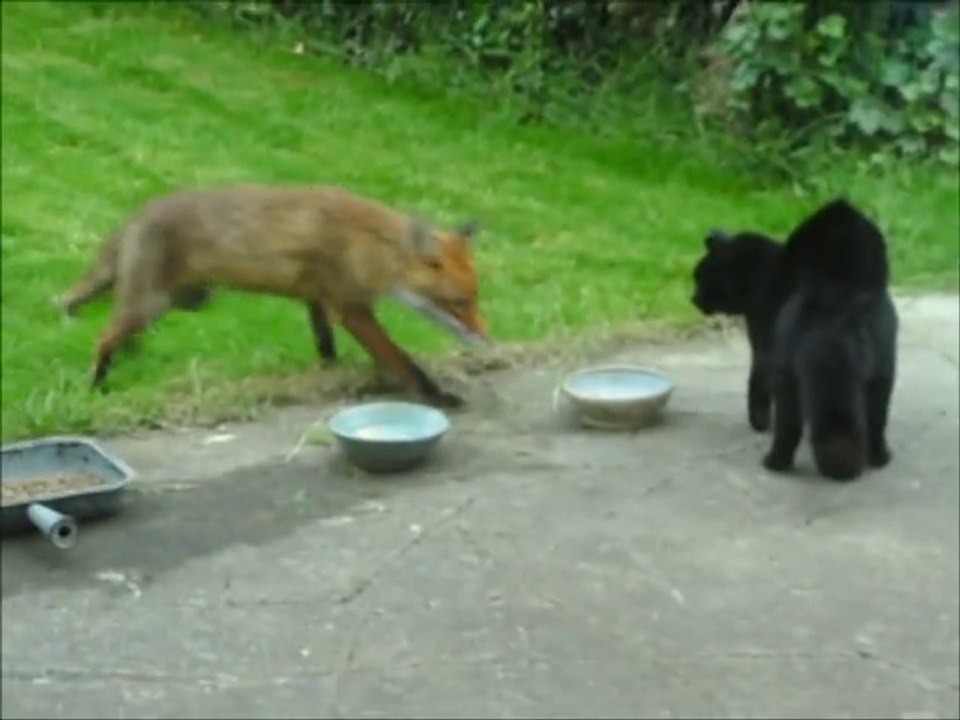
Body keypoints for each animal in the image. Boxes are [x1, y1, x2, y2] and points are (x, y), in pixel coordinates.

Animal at [57, 184, 491, 408]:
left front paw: (329, 374)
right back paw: (97, 386)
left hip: (174, 302)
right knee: (104, 336)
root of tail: (137, 215)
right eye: (460, 302)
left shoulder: (317, 300)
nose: (486, 339)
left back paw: (128, 358)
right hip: (151, 304)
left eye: (476, 297)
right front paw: (435, 395)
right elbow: (399, 358)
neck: (365, 244)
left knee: (117, 329)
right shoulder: (349, 307)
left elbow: (326, 347)